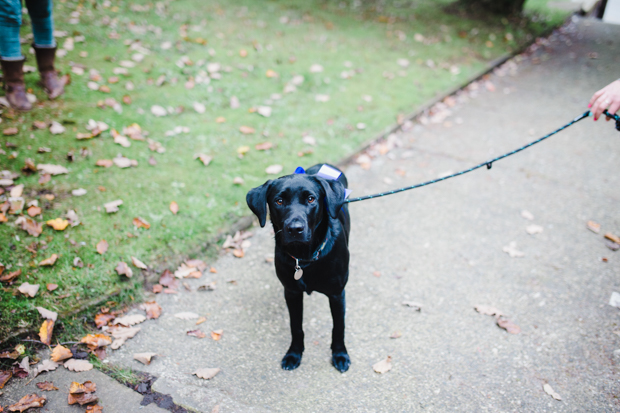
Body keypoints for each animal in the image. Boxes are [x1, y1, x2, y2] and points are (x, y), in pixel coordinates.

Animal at [247, 165, 354, 374]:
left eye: (311, 199)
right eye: (279, 201)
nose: (295, 228)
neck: (305, 258)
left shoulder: (337, 294)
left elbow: (338, 327)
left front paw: (340, 355)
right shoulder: (292, 293)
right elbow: (295, 327)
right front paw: (294, 354)